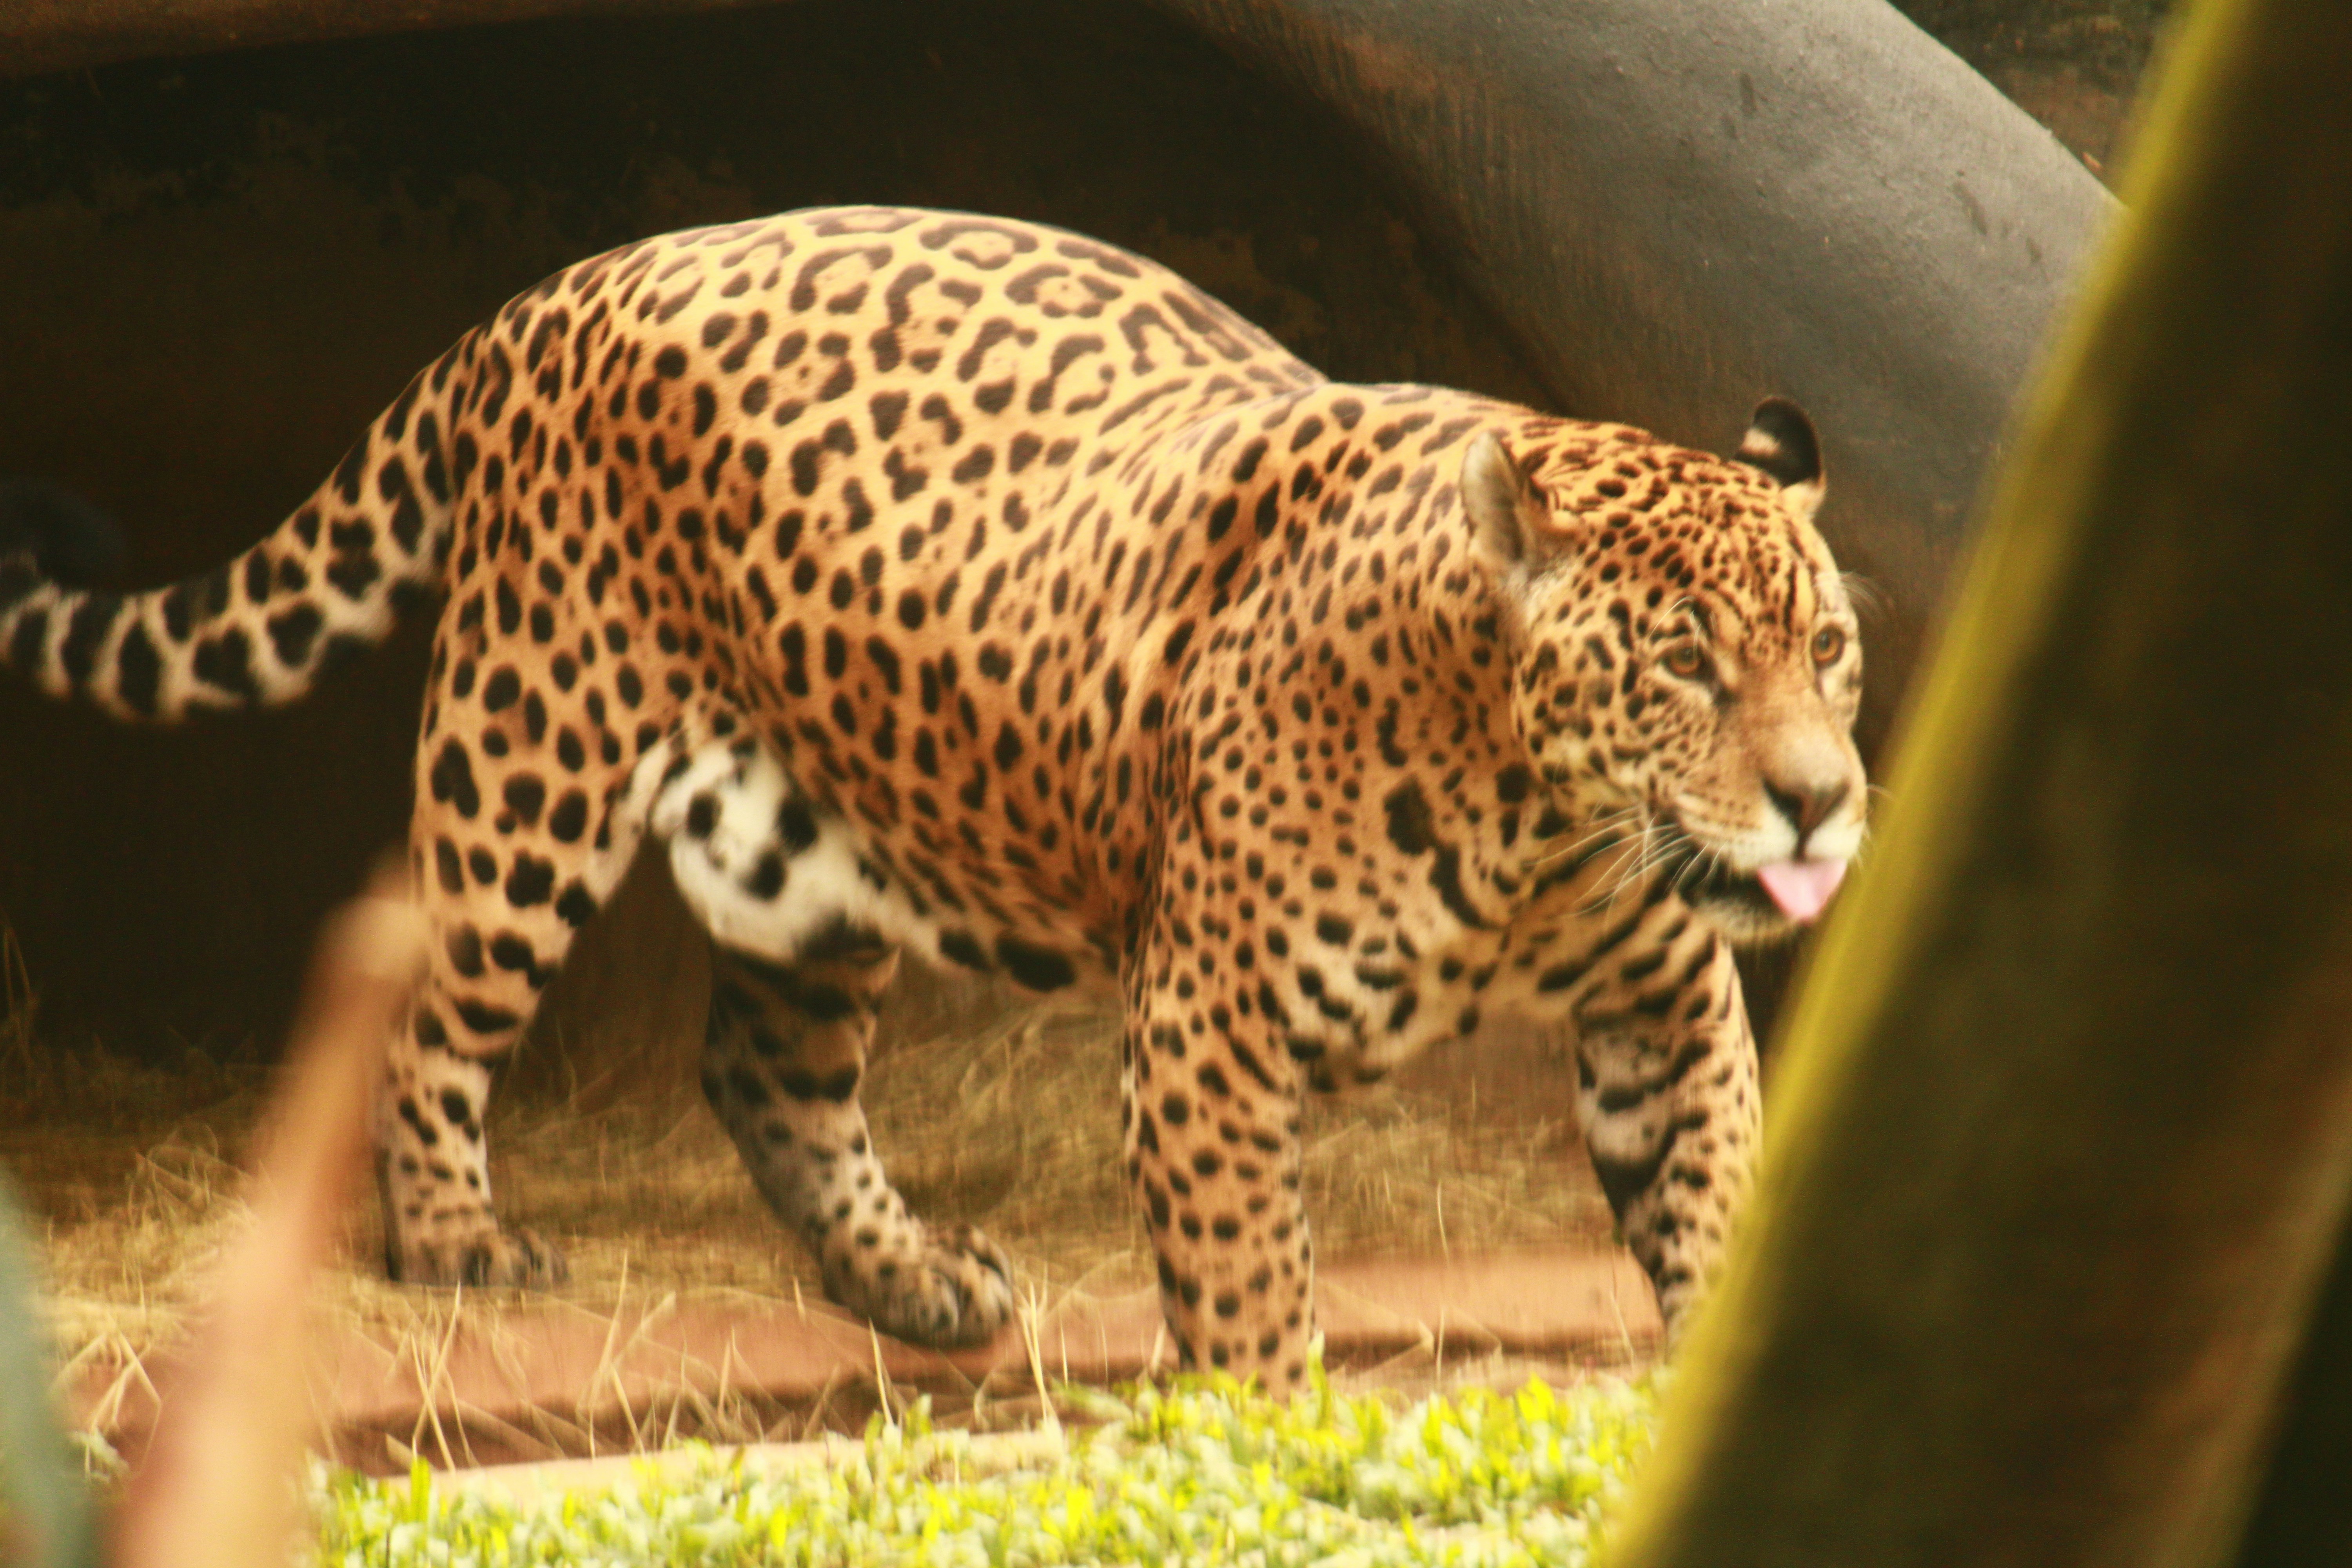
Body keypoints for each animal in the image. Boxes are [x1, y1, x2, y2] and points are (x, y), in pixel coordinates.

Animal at [0, 205, 1866, 1391]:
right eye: (1686, 661)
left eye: (1830, 646)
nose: (1823, 805)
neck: (1535, 836)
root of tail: (563, 284)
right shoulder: (1208, 1035)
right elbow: (1252, 1297)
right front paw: (1274, 1441)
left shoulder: (1667, 1014)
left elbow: (1715, 1220)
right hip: (531, 754)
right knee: (427, 1005)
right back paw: (456, 1235)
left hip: (802, 847)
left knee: (764, 1066)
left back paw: (910, 1277)